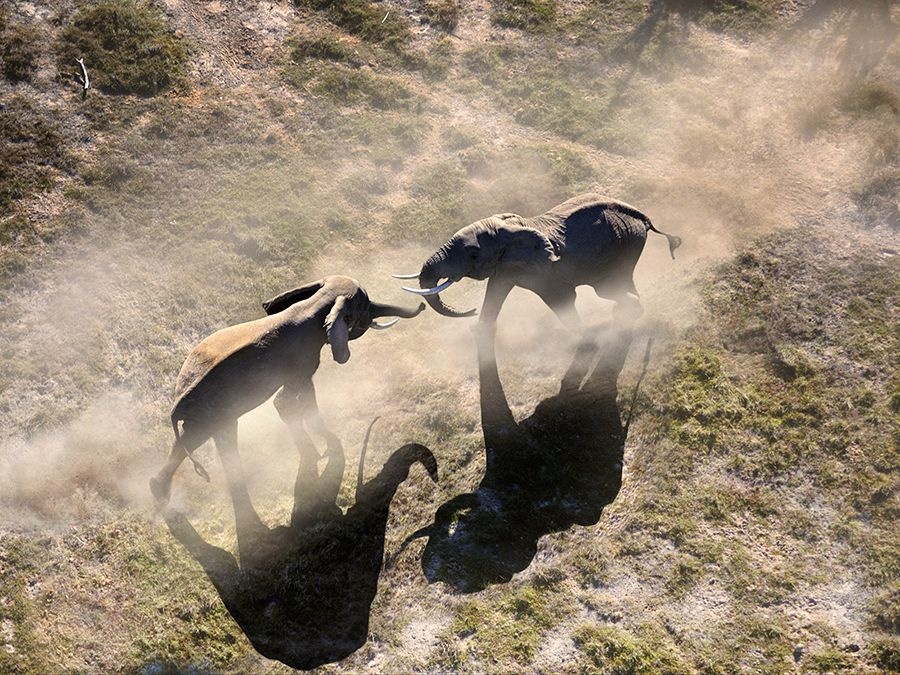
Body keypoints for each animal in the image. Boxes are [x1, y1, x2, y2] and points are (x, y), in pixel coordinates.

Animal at [149, 275, 425, 505]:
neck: (316, 302)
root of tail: (176, 405)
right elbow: (285, 402)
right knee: (202, 438)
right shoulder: (303, 359)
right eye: (365, 307)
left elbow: (304, 393)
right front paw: (319, 451)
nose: (423, 306)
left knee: (202, 439)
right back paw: (163, 494)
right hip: (211, 410)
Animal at [394, 193, 682, 327]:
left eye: (473, 254)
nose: (469, 310)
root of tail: (641, 215)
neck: (511, 230)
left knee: (609, 288)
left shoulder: (544, 271)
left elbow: (563, 299)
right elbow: (494, 295)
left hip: (626, 246)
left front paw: (581, 336)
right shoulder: (506, 267)